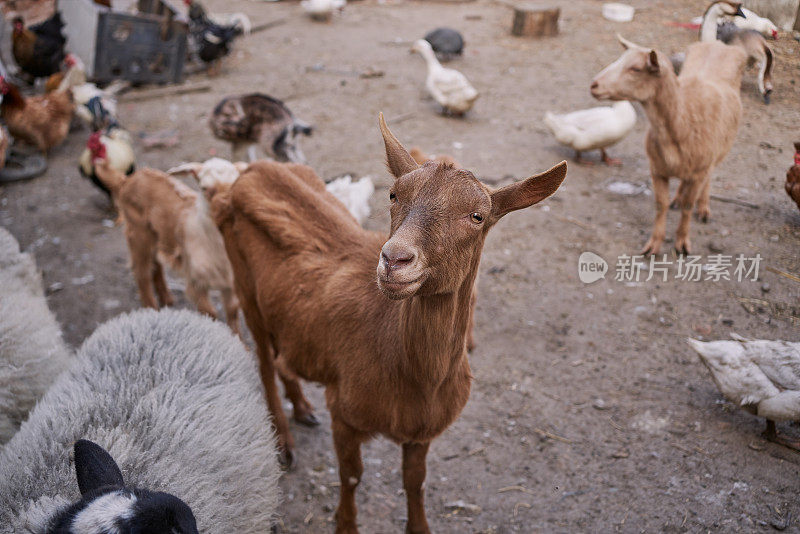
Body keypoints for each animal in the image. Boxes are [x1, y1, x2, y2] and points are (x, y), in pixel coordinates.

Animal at [209, 113, 564, 532]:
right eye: (394, 195)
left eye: (478, 216)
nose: (394, 259)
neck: (414, 376)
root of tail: (249, 172)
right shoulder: (344, 411)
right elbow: (351, 476)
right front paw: (345, 524)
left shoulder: (422, 431)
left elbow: (415, 482)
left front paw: (419, 525)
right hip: (245, 286)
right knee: (264, 362)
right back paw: (284, 442)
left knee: (282, 355)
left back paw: (302, 407)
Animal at [588, 36, 752, 258]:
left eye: (636, 69)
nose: (594, 85)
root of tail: (718, 43)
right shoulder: (657, 169)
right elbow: (661, 205)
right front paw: (653, 244)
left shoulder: (699, 170)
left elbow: (688, 206)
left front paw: (682, 243)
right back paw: (678, 197)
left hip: (719, 151)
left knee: (709, 177)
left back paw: (704, 208)